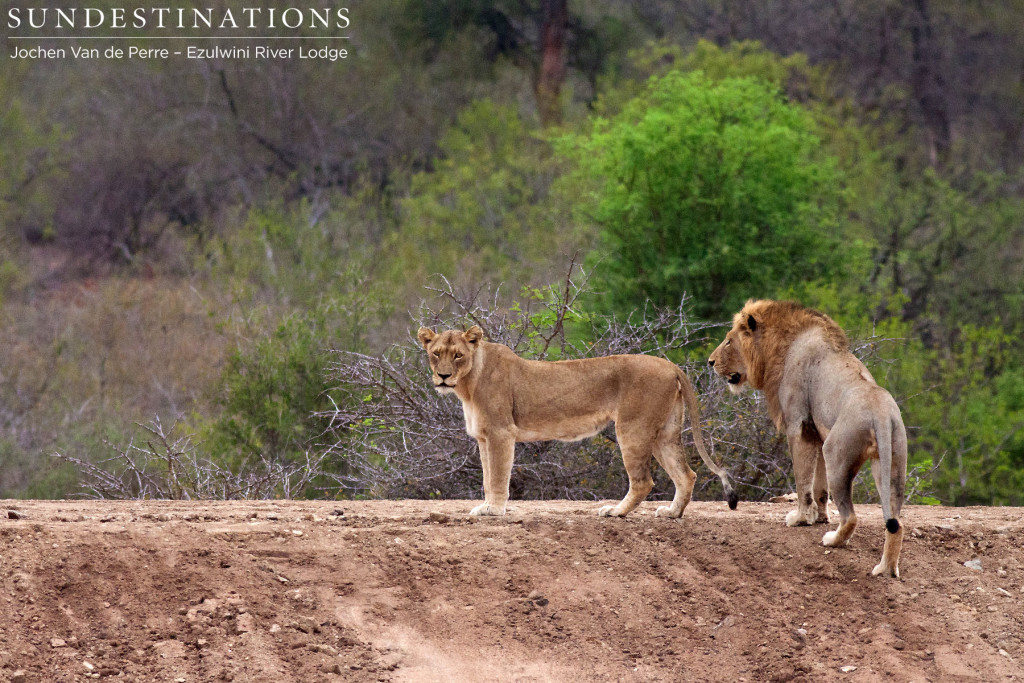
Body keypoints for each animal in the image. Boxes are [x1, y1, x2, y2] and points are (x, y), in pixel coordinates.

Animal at [415, 325, 737, 518]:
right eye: (436, 353)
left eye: (458, 355)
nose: (443, 376)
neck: (467, 384)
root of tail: (670, 365)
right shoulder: (483, 436)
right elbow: (486, 476)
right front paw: (487, 505)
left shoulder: (500, 433)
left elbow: (497, 477)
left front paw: (492, 510)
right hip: (664, 433)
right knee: (686, 474)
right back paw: (671, 513)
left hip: (633, 428)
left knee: (643, 481)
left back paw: (616, 512)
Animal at [708, 299, 909, 577]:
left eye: (729, 341)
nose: (710, 362)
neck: (781, 347)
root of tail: (880, 412)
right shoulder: (818, 433)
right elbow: (819, 487)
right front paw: (820, 517)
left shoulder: (798, 426)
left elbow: (803, 480)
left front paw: (801, 519)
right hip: (892, 462)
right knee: (896, 523)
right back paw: (885, 569)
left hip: (837, 455)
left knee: (851, 517)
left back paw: (832, 540)